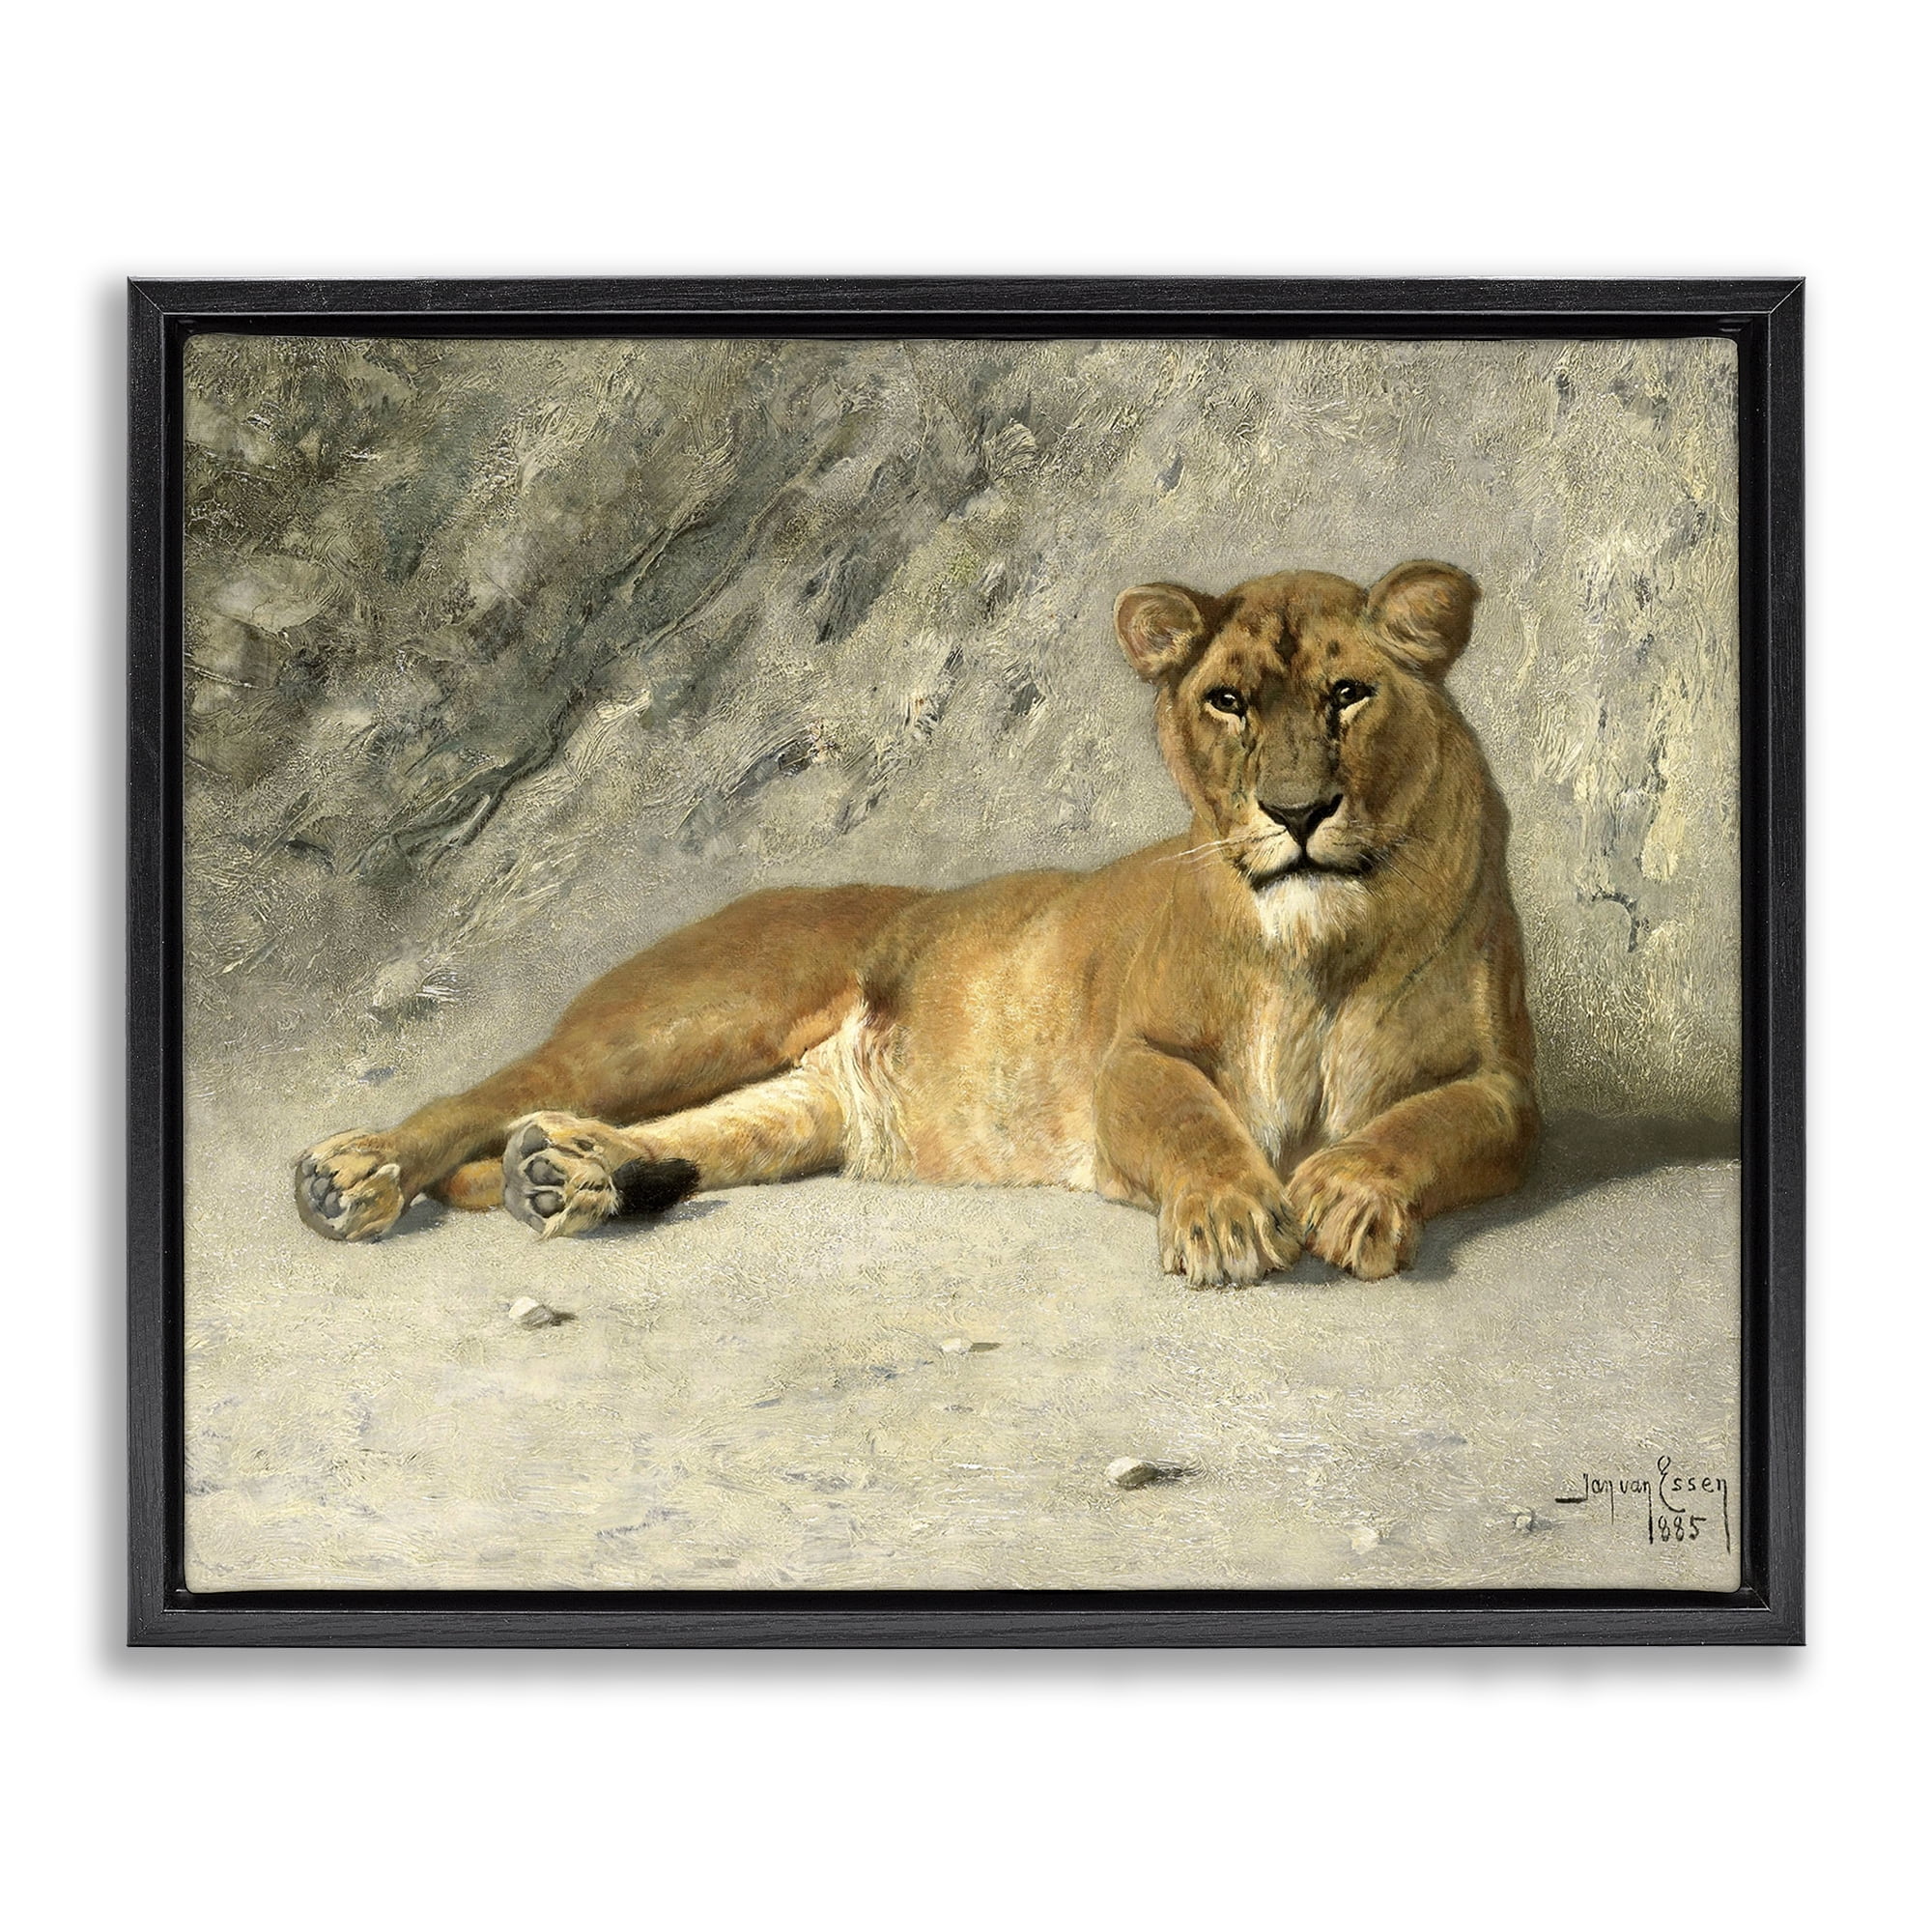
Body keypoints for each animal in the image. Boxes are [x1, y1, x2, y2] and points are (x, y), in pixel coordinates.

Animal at [295, 561, 1538, 1284]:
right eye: (1226, 701)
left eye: (1347, 695)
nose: (1295, 811)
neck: (1320, 942)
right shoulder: (1131, 1056)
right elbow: (1192, 1117)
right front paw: (1233, 1215)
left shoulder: (1504, 1088)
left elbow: (1423, 1124)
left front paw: (1349, 1188)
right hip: (688, 1017)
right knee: (495, 1093)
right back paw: (353, 1175)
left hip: (797, 1109)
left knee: (683, 1134)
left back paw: (570, 1175)